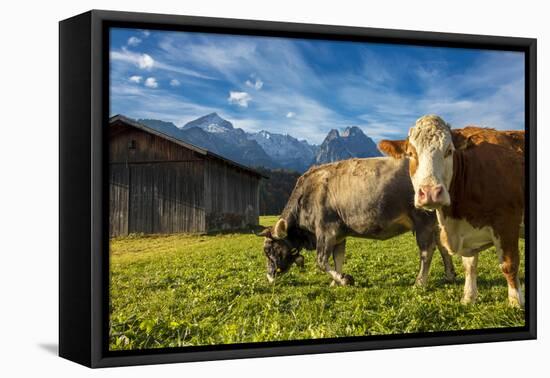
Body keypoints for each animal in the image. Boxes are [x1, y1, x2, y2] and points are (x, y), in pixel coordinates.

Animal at [258, 157, 458, 286]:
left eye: (269, 250)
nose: (269, 277)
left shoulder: (326, 230)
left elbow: (321, 260)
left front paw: (344, 279)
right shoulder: (339, 234)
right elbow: (338, 258)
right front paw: (336, 282)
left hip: (423, 218)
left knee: (427, 250)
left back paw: (420, 282)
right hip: (435, 221)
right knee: (442, 245)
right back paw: (449, 275)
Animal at [380, 115, 528, 308]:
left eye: (449, 151)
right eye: (411, 154)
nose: (430, 192)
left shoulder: (507, 222)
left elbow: (509, 264)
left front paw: (516, 302)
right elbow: (469, 265)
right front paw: (469, 297)